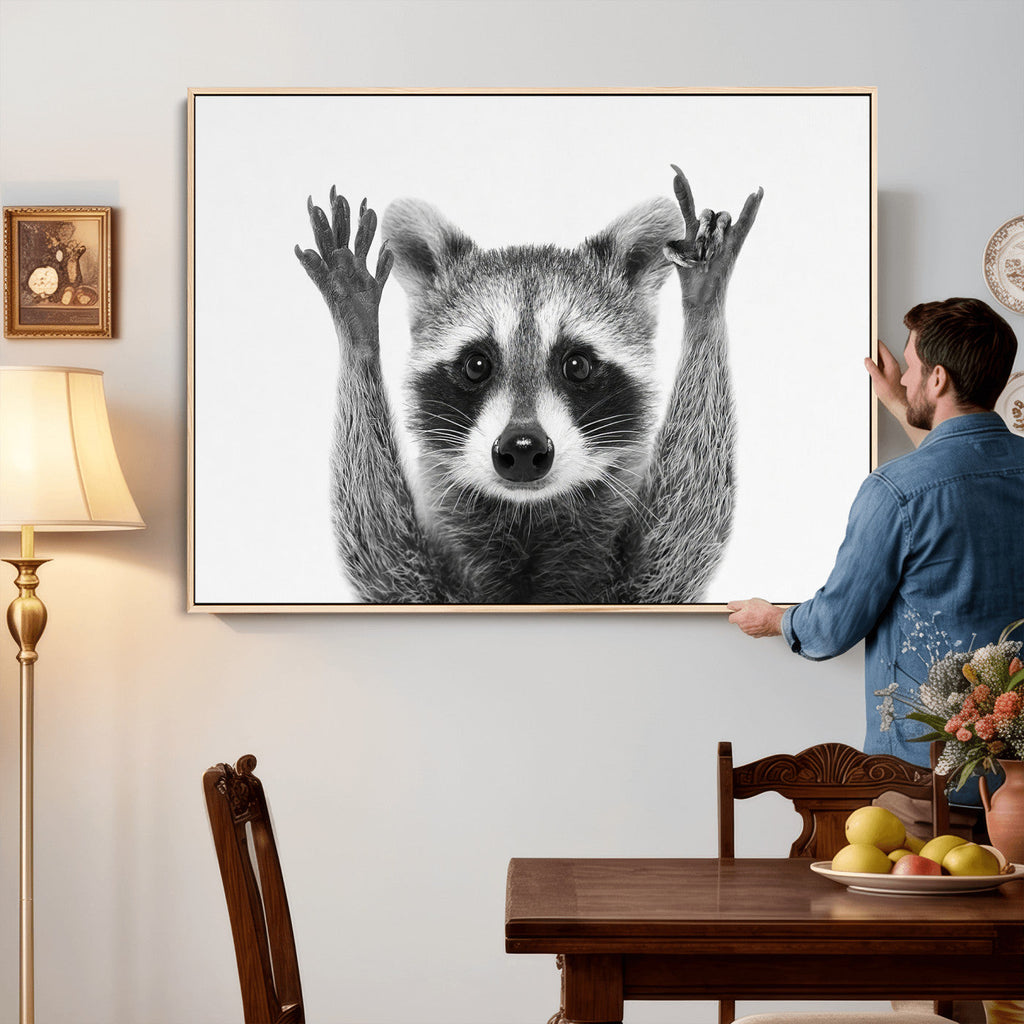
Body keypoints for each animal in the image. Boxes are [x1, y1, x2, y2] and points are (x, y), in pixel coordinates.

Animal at [295, 167, 762, 604]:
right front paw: (358, 329)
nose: (522, 448)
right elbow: (379, 552)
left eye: (577, 365)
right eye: (476, 365)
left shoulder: (644, 582)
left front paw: (704, 303)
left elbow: (685, 530)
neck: (528, 518)